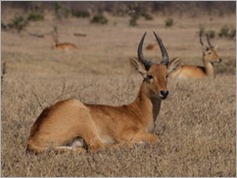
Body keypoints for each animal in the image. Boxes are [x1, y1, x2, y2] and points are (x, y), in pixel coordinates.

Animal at [26, 31, 180, 153]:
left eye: (166, 75)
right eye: (150, 75)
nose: (164, 92)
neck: (137, 112)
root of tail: (33, 138)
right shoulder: (129, 134)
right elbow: (156, 138)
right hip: (86, 122)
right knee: (96, 146)